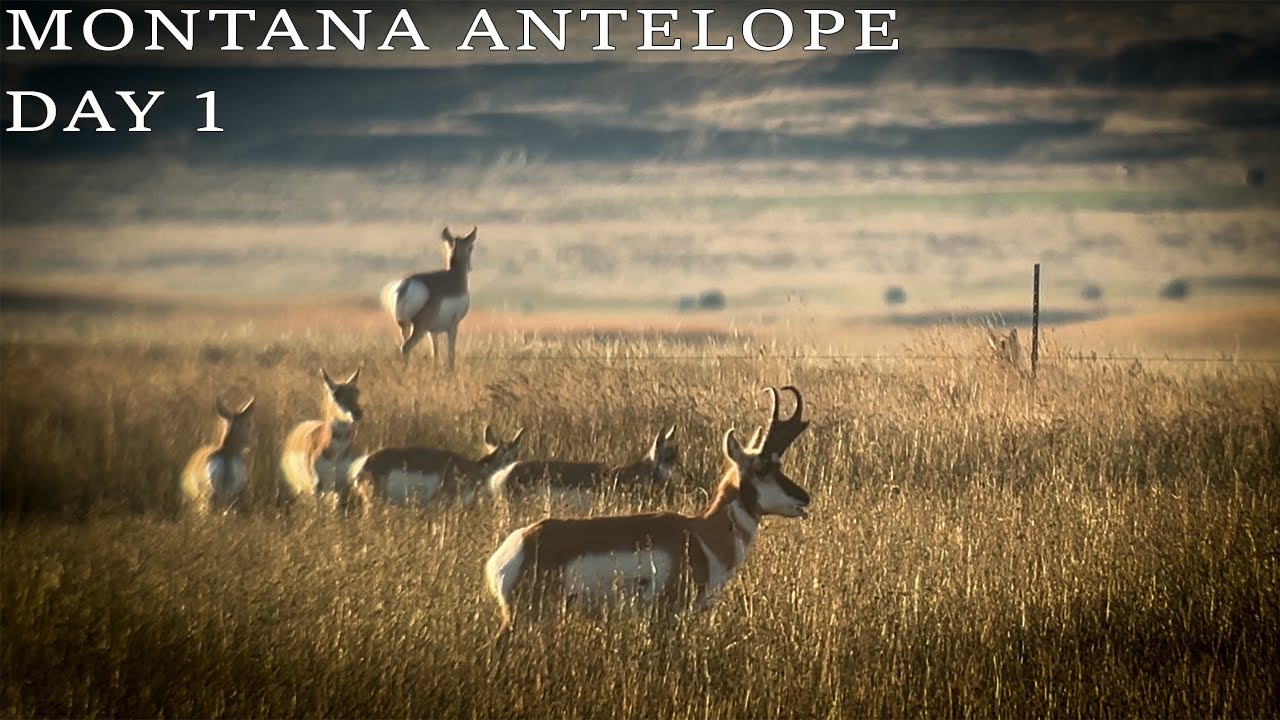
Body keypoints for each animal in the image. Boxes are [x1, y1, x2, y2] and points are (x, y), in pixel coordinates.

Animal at [279, 365, 365, 508]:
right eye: (335, 395)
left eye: (357, 392)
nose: (357, 412)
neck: (334, 456)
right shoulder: (316, 487)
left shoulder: (340, 487)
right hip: (299, 489)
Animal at [381, 225, 477, 371]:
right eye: (471, 247)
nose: (470, 267)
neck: (454, 275)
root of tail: (407, 285)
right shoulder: (453, 327)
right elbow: (451, 352)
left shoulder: (432, 332)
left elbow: (435, 353)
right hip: (419, 328)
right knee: (406, 347)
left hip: (405, 326)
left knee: (404, 347)